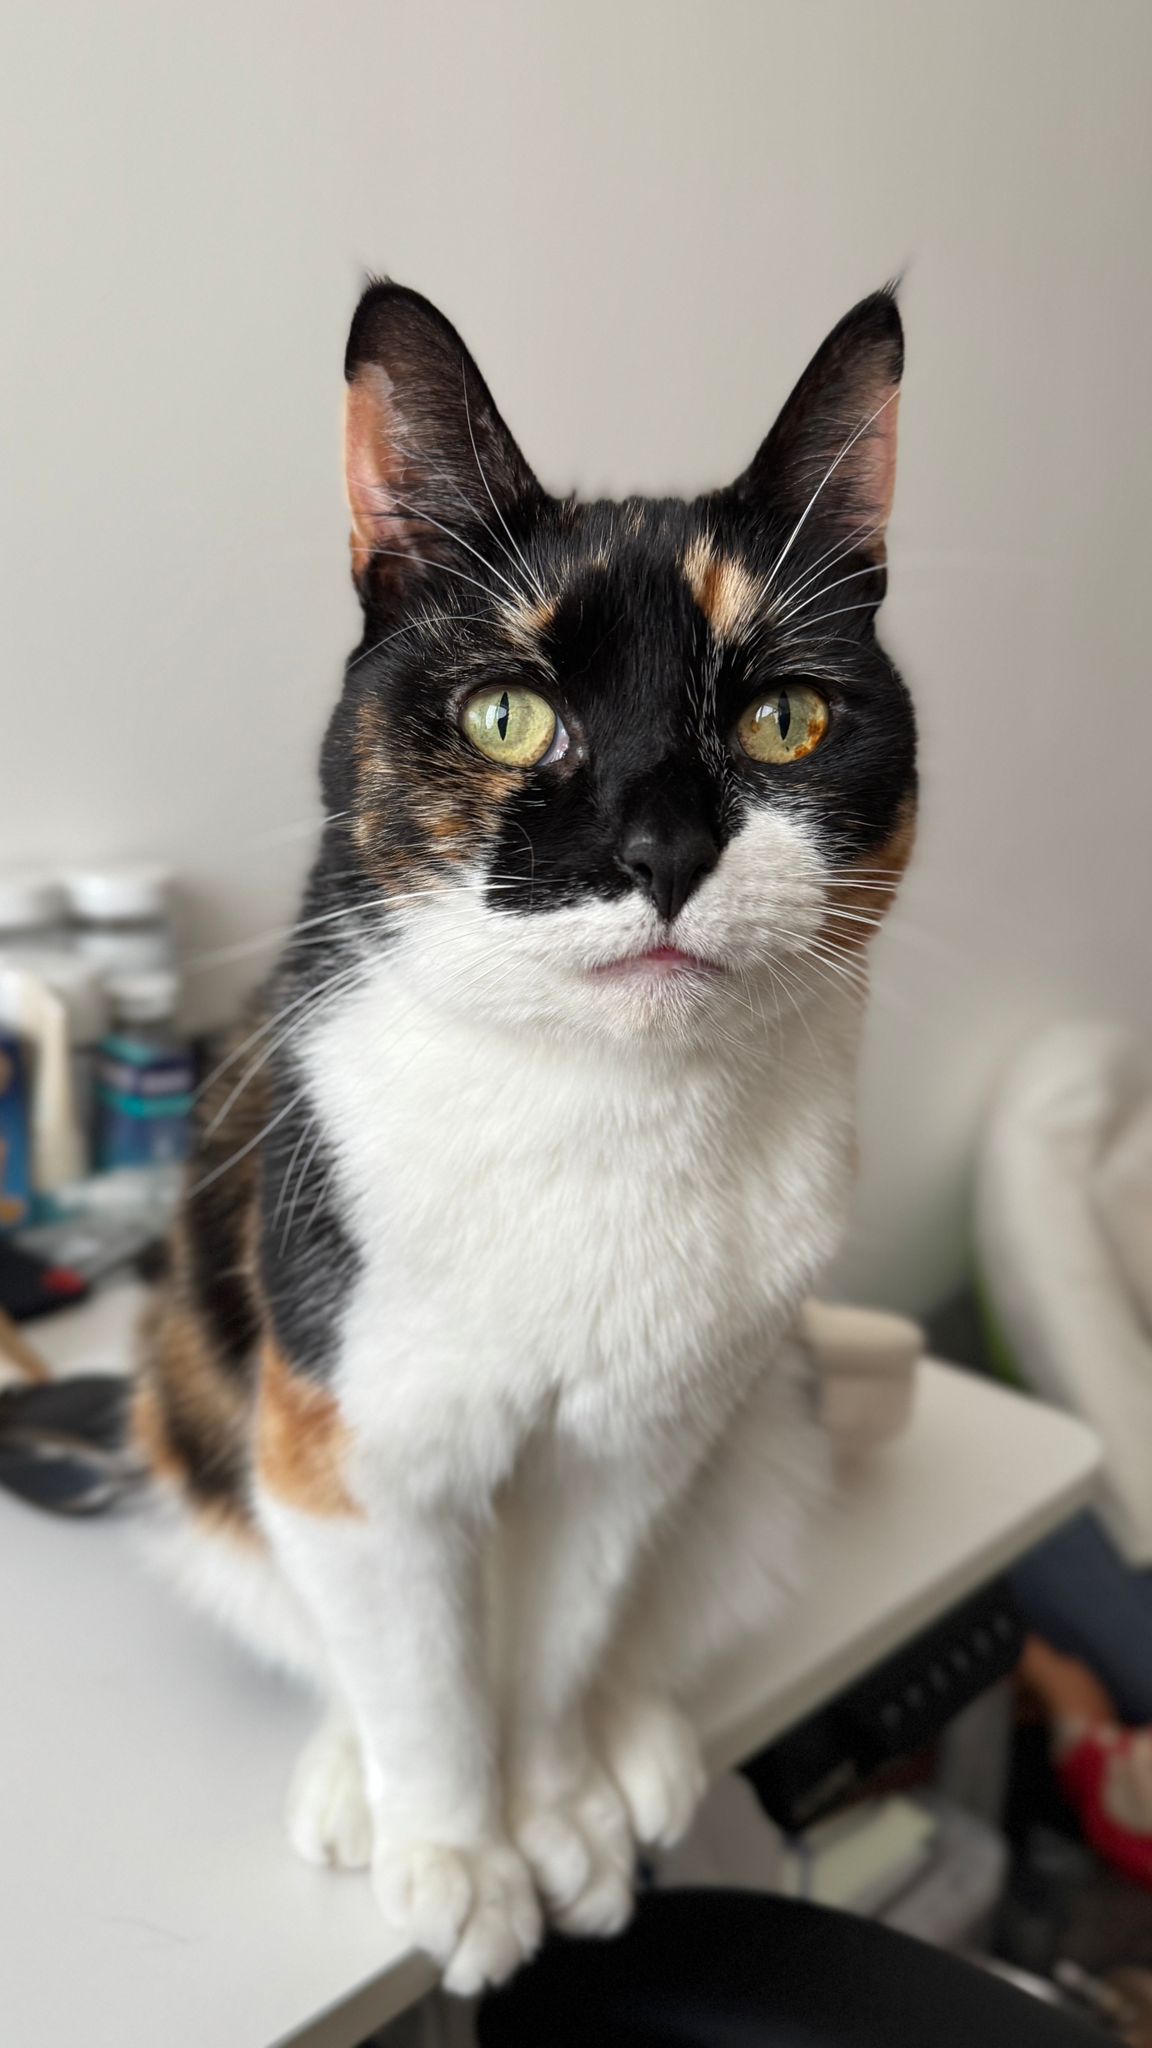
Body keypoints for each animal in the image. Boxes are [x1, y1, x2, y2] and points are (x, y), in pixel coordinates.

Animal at [1, 279, 916, 1994]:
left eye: (785, 716)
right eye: (508, 713)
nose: (662, 849)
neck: (600, 1116)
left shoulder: (624, 1447)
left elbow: (556, 1644)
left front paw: (554, 1817)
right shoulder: (359, 1441)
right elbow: (419, 1672)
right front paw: (454, 1854)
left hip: (764, 1413)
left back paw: (640, 1754)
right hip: (203, 1396)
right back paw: (354, 1785)